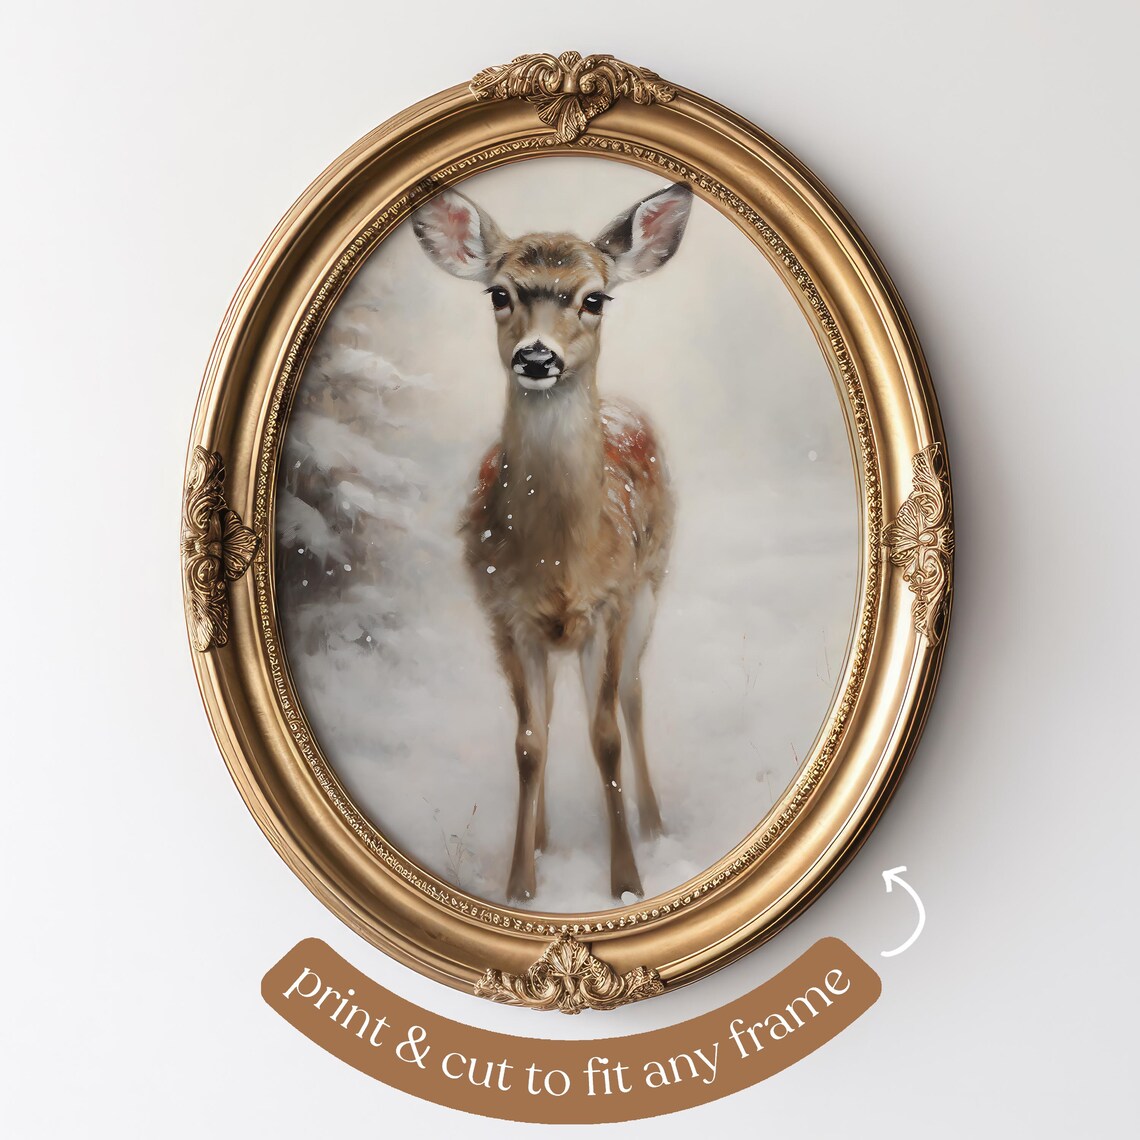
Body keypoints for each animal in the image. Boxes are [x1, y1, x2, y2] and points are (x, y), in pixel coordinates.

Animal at [412, 179, 692, 903]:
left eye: (595, 298)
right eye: (498, 294)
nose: (536, 357)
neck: (560, 558)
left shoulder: (612, 601)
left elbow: (606, 735)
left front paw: (626, 882)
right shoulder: (505, 614)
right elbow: (529, 742)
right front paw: (522, 885)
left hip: (651, 584)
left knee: (633, 696)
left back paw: (655, 825)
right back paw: (542, 838)